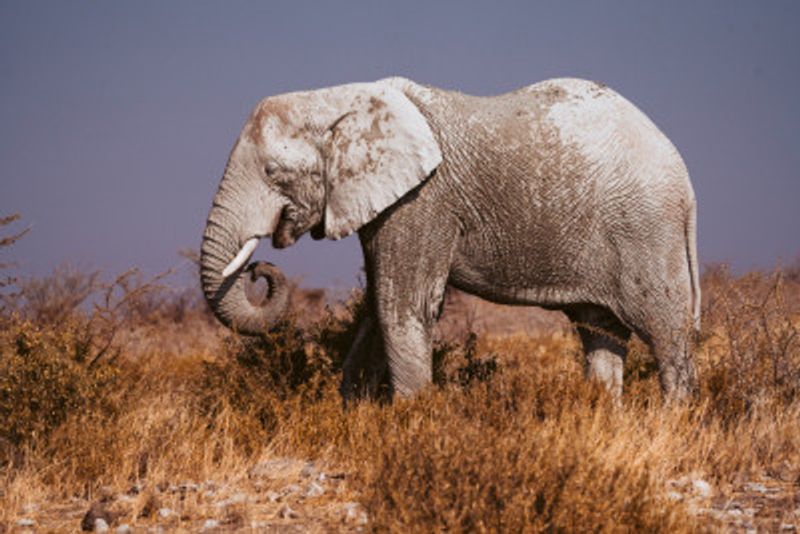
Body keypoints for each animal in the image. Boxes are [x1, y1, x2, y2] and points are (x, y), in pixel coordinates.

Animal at [200, 76, 700, 400]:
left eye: (273, 172)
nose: (258, 269)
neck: (338, 99)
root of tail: (684, 177)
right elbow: (377, 306)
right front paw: (356, 414)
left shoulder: (423, 200)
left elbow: (402, 306)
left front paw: (411, 420)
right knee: (600, 331)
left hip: (645, 228)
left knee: (664, 328)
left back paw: (674, 423)